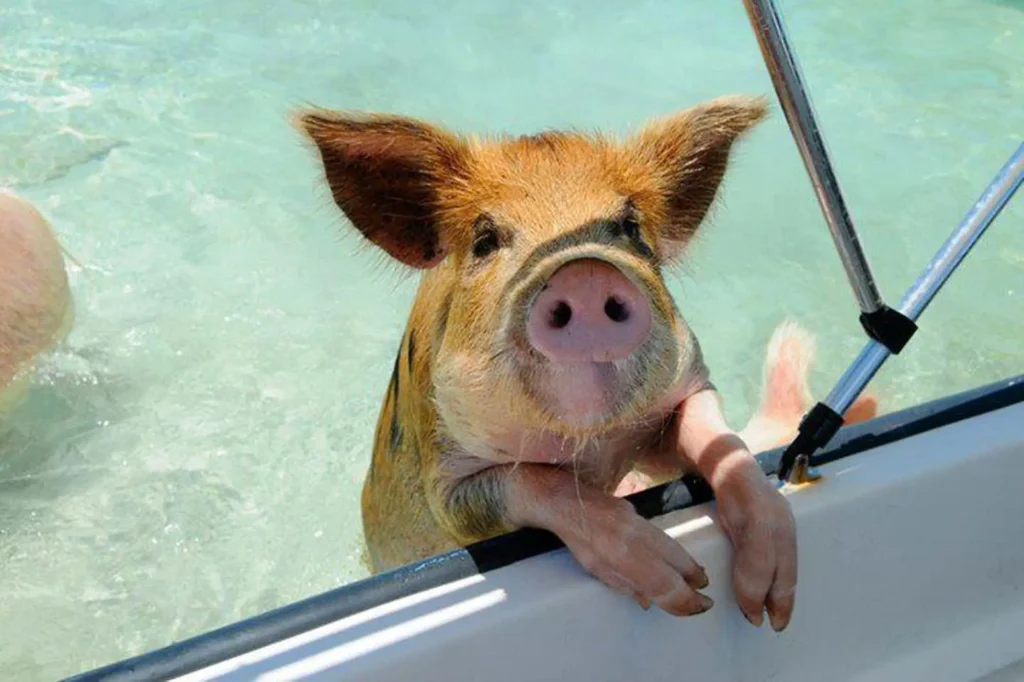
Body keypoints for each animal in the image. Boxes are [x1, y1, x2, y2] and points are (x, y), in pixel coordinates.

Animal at [292, 93, 876, 630]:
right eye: (485, 239)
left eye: (630, 227)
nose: (586, 273)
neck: (590, 444)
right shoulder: (449, 481)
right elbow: (535, 484)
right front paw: (687, 590)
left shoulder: (686, 387)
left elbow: (724, 446)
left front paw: (767, 607)